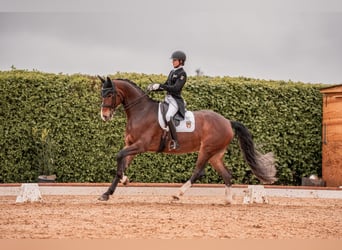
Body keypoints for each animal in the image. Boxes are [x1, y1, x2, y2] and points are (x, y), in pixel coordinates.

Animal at [97, 75, 276, 203]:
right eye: (101, 94)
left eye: (110, 94)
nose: (104, 116)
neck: (141, 111)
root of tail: (227, 121)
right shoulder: (131, 145)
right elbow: (121, 164)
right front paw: (108, 192)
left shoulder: (141, 145)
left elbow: (119, 156)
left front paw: (123, 180)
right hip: (216, 154)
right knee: (226, 174)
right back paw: (227, 200)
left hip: (206, 150)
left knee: (198, 172)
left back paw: (178, 194)